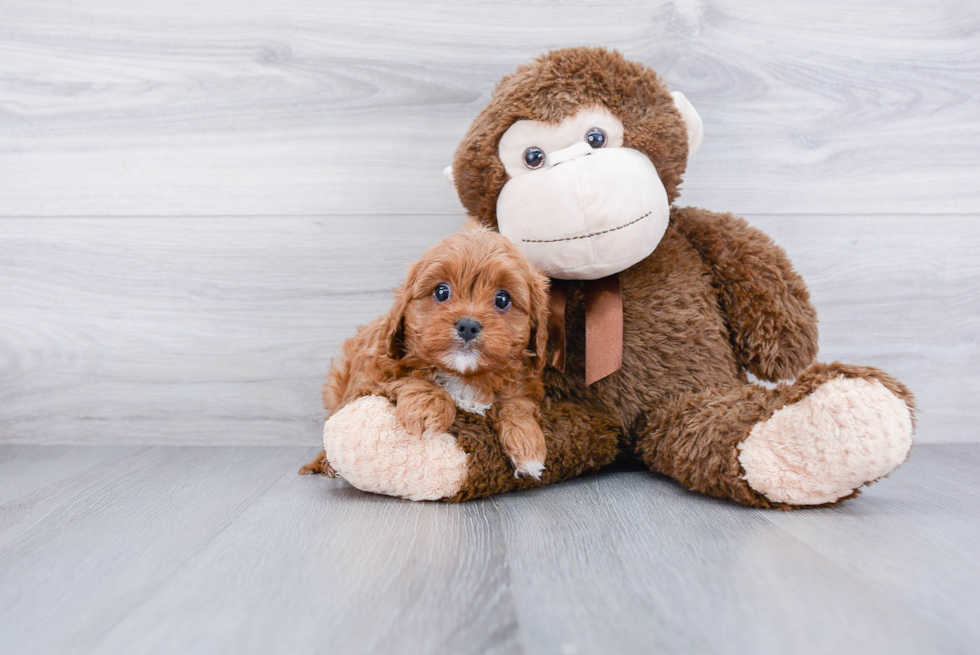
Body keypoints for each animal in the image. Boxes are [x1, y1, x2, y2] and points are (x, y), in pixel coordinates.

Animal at [298, 231, 552, 482]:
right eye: (441, 292)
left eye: (502, 299)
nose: (468, 326)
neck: (464, 377)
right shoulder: (369, 380)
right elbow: (411, 379)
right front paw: (428, 409)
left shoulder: (525, 385)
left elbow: (516, 404)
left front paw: (527, 443)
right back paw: (325, 463)